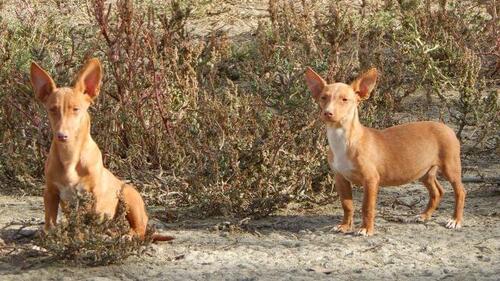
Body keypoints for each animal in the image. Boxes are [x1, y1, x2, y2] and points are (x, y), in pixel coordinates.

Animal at [30, 57, 174, 241]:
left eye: (76, 109)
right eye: (52, 109)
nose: (62, 136)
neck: (70, 156)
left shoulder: (89, 195)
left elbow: (83, 221)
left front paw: (79, 237)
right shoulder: (50, 192)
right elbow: (50, 220)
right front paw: (49, 235)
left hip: (129, 197)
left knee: (139, 230)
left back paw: (125, 236)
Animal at [304, 66, 464, 235]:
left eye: (344, 100)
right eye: (323, 98)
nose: (328, 113)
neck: (344, 139)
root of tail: (446, 127)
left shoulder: (371, 180)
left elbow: (367, 207)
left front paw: (366, 229)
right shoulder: (340, 178)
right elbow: (347, 205)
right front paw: (345, 226)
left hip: (450, 168)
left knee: (460, 191)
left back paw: (455, 220)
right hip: (424, 172)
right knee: (437, 192)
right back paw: (424, 215)